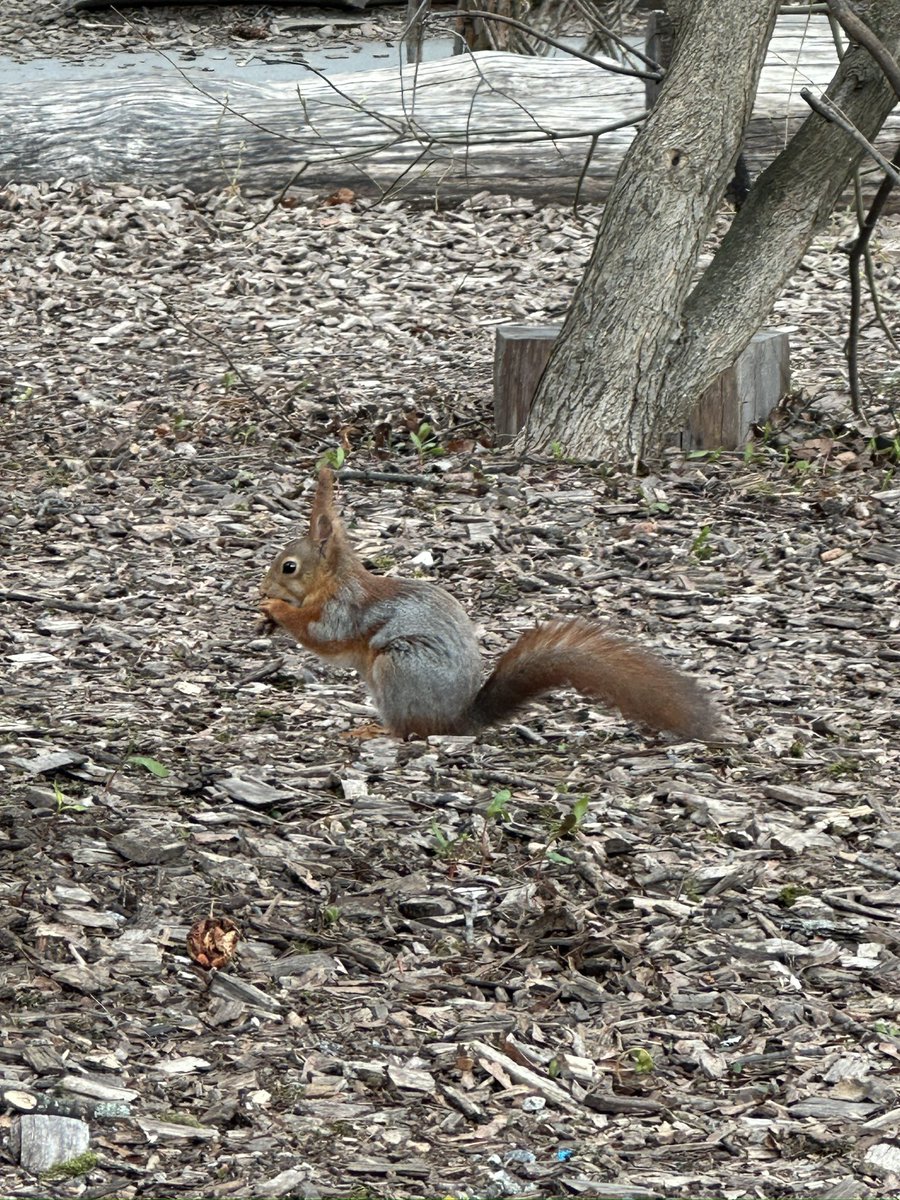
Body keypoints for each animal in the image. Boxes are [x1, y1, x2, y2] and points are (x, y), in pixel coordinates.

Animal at [259, 468, 720, 739]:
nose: (263, 587)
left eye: (288, 567)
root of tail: (456, 721)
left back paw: (376, 733)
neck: (332, 583)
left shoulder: (343, 611)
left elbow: (321, 637)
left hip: (398, 667)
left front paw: (275, 611)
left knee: (410, 731)